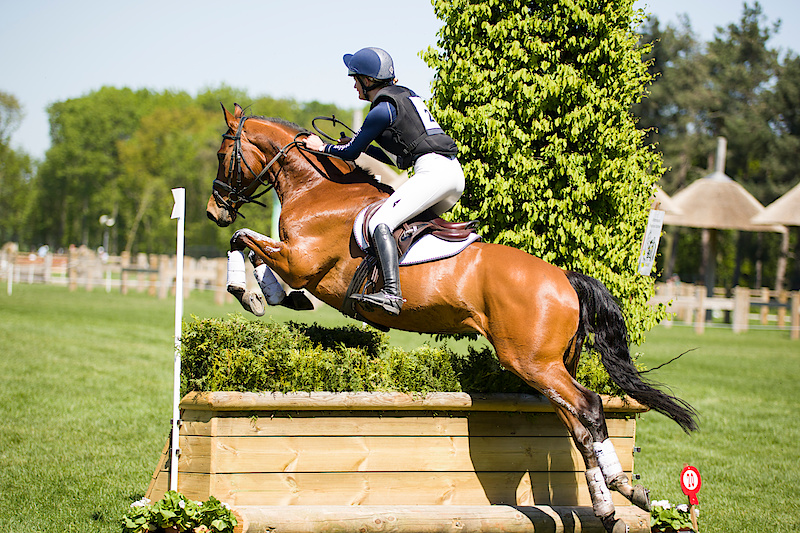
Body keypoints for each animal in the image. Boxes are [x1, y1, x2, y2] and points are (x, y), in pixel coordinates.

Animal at [206, 103, 697, 533]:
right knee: (579, 426)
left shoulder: (301, 260)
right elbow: (258, 253)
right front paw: (270, 295)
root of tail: (564, 277)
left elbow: (244, 239)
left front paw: (248, 292)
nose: (214, 210)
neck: (318, 189)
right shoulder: (296, 260)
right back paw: (615, 503)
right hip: (550, 367)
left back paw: (619, 492)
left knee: (590, 407)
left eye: (222, 153)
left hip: (531, 362)